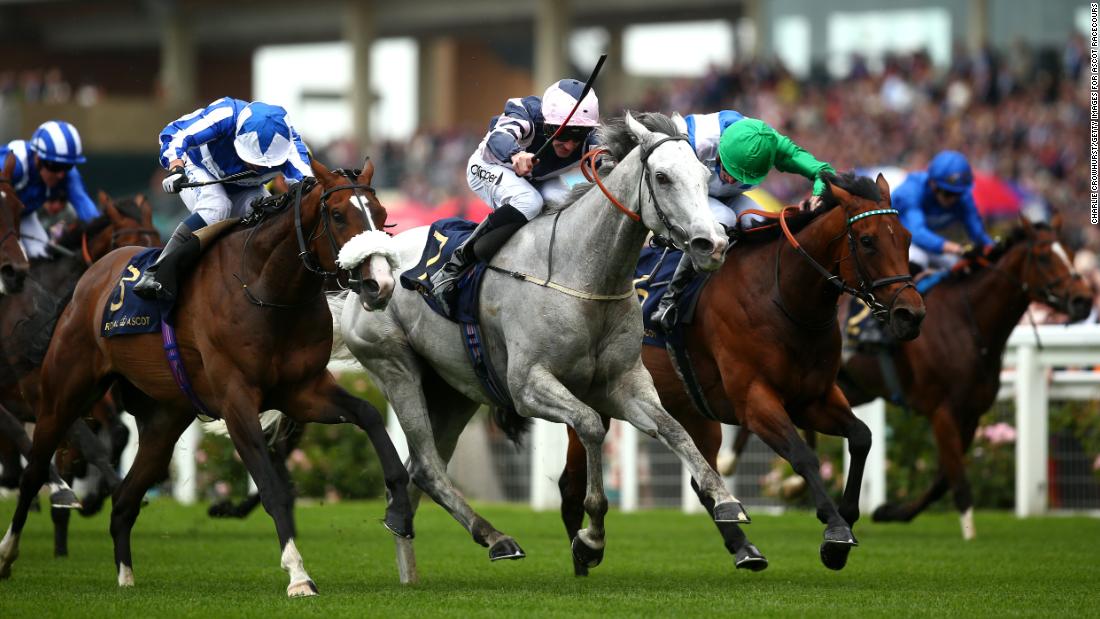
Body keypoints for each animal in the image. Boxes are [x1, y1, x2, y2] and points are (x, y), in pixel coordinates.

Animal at [334, 113, 748, 584]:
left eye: (703, 175)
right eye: (662, 177)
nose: (712, 244)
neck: (581, 274)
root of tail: (367, 272)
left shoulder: (623, 384)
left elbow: (675, 429)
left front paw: (726, 501)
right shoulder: (528, 386)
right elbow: (590, 426)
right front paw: (590, 540)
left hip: (453, 391)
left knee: (417, 472)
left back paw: (411, 561)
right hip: (396, 368)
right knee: (427, 465)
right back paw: (496, 539)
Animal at [558, 171, 928, 576]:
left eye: (907, 237)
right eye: (867, 240)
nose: (911, 314)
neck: (783, 298)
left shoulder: (814, 398)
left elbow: (862, 437)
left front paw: (843, 526)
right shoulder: (755, 401)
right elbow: (803, 456)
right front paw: (835, 531)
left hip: (692, 410)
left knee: (702, 478)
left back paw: (744, 547)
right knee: (570, 485)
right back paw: (582, 555)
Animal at [836, 215, 1086, 540]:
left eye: (1069, 252)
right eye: (1044, 257)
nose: (1083, 300)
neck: (967, 323)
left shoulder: (971, 414)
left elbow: (944, 478)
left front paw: (890, 512)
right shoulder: (942, 410)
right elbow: (957, 476)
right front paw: (970, 535)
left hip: (852, 388)